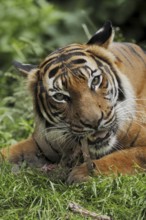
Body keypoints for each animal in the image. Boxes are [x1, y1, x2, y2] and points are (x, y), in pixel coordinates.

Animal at [0, 20, 146, 183]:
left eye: (95, 80)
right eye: (60, 96)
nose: (94, 123)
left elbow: (127, 155)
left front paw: (82, 173)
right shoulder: (39, 143)